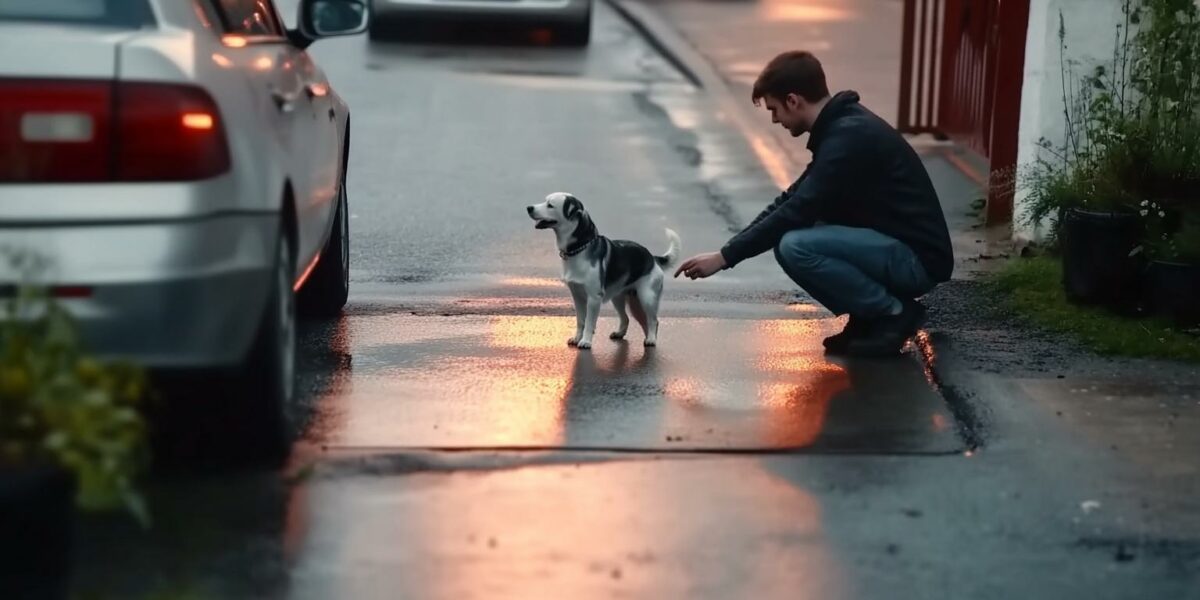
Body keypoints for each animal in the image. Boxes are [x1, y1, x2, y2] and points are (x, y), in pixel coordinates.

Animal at [528, 192, 681, 350]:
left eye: (550, 205)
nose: (529, 208)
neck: (579, 248)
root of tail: (653, 258)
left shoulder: (594, 298)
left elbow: (589, 322)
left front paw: (586, 341)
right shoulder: (577, 296)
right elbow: (581, 321)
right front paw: (577, 338)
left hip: (647, 298)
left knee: (653, 320)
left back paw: (651, 339)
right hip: (619, 298)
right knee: (626, 318)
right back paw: (620, 333)